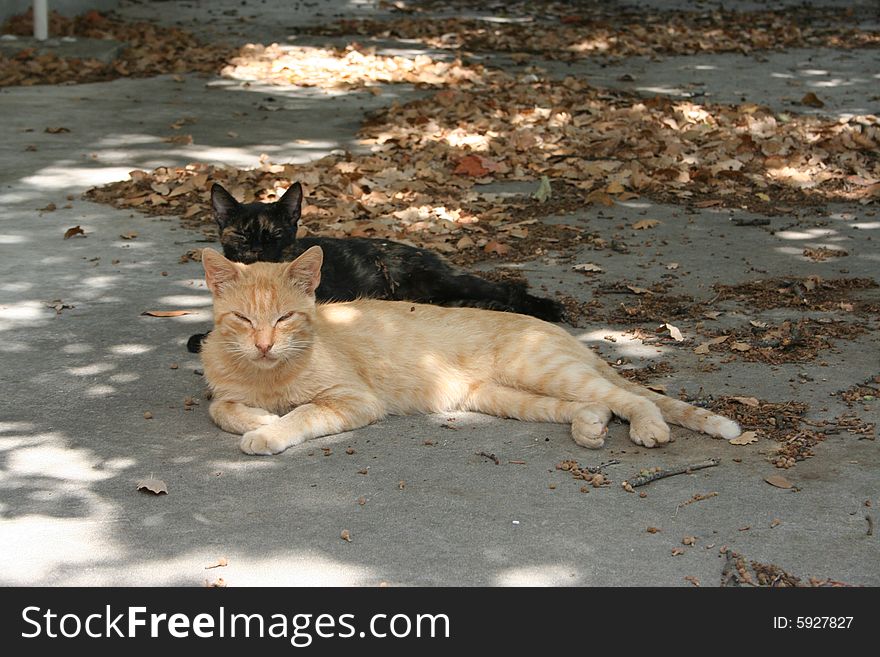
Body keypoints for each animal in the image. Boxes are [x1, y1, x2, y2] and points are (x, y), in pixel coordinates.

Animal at [187, 182, 564, 352]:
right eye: (241, 235)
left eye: (275, 236)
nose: (257, 250)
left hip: (443, 282)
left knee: (506, 288)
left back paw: (545, 308)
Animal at [201, 243, 744, 454]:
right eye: (244, 320)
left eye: (285, 318)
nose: (264, 344)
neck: (267, 376)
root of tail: (558, 332)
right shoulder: (225, 394)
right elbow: (221, 408)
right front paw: (257, 418)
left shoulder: (353, 400)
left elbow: (302, 414)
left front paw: (268, 431)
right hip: (504, 397)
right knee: (593, 405)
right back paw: (589, 427)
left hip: (542, 370)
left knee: (632, 398)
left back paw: (648, 429)